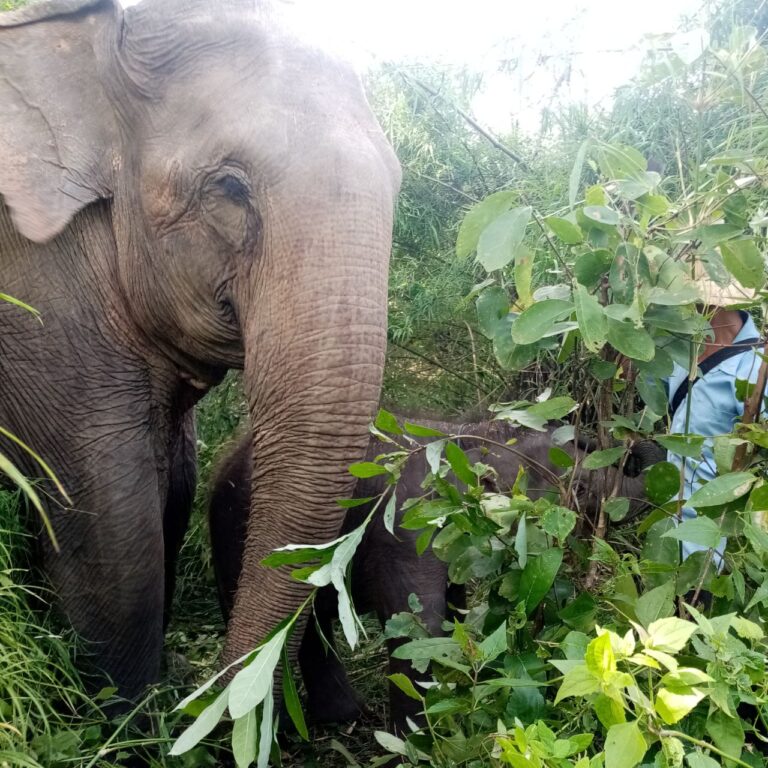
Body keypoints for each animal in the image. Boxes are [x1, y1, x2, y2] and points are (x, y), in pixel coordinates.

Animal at [0, 0, 399, 703]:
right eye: (230, 189)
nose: (209, 706)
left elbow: (173, 487)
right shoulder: (37, 298)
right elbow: (114, 518)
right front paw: (126, 720)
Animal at [208, 417, 653, 731]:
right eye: (580, 489)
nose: (631, 444)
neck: (464, 433)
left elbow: (454, 614)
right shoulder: (407, 529)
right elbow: (419, 629)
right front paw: (419, 746)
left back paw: (345, 716)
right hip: (234, 538)